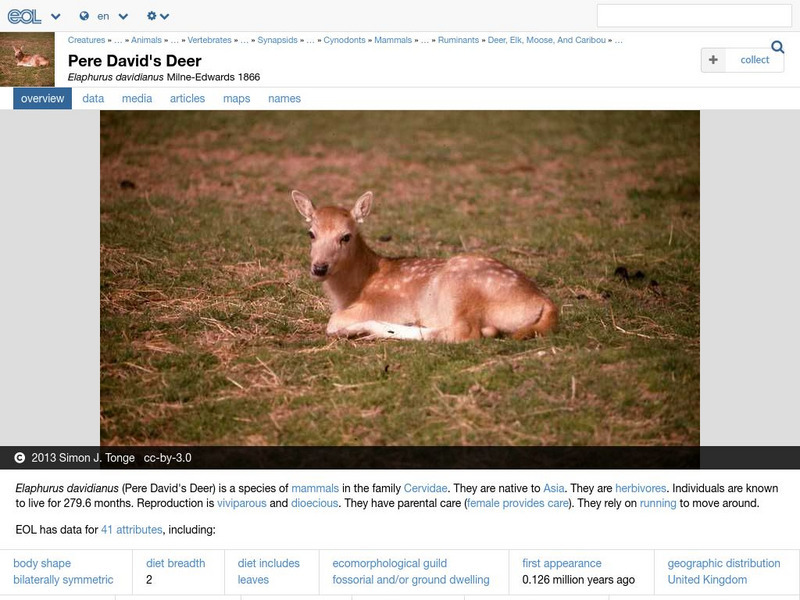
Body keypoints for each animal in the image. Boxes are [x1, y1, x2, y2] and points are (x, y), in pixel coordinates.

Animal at [291, 190, 558, 343]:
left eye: (346, 236)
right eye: (311, 233)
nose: (319, 268)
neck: (352, 290)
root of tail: (545, 303)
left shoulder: (378, 305)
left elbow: (333, 320)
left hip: (458, 288)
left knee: (465, 332)